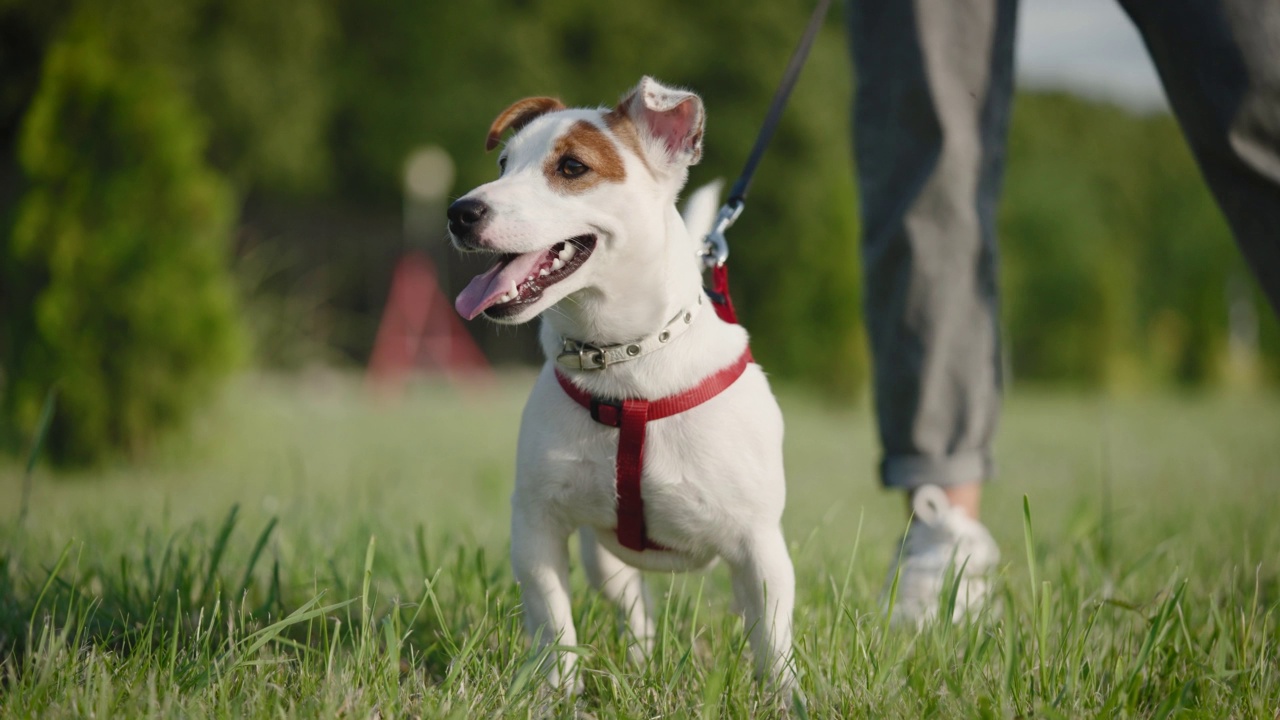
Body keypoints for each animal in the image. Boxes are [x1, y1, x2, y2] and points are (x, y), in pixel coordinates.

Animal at [445, 75, 793, 691]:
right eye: (505, 163)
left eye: (572, 168)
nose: (460, 212)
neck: (622, 366)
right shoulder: (536, 527)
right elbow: (554, 625)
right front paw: (558, 695)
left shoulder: (761, 548)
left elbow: (774, 647)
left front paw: (788, 699)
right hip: (603, 558)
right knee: (637, 610)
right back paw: (640, 662)